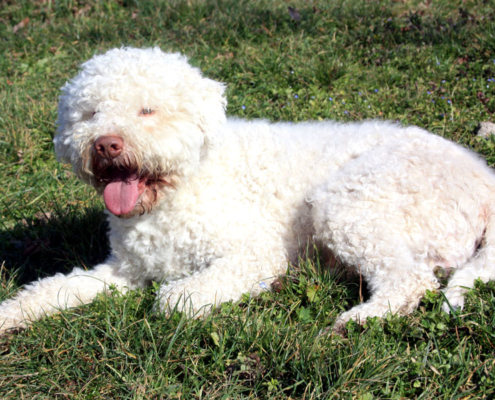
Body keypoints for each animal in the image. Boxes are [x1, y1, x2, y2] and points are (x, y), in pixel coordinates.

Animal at [0, 47, 495, 334]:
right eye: (89, 113)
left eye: (147, 110)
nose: (105, 144)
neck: (178, 188)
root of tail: (484, 178)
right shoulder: (124, 272)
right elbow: (53, 290)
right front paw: (11, 315)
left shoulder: (256, 253)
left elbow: (172, 298)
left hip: (348, 203)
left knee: (411, 281)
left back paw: (358, 321)